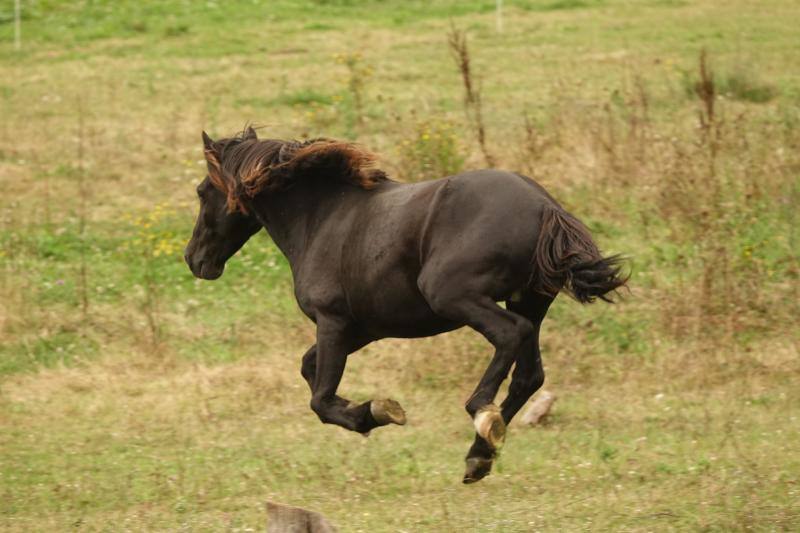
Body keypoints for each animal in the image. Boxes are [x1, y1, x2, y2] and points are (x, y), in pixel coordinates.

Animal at [184, 128, 628, 482]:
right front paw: (365, 412)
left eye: (202, 191)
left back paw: (481, 415)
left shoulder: (332, 321)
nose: (195, 260)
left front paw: (376, 412)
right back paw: (479, 455)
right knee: (529, 374)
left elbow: (321, 398)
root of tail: (544, 207)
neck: (322, 217)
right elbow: (310, 370)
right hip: (529, 302)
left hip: (454, 295)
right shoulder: (363, 328)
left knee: (508, 336)